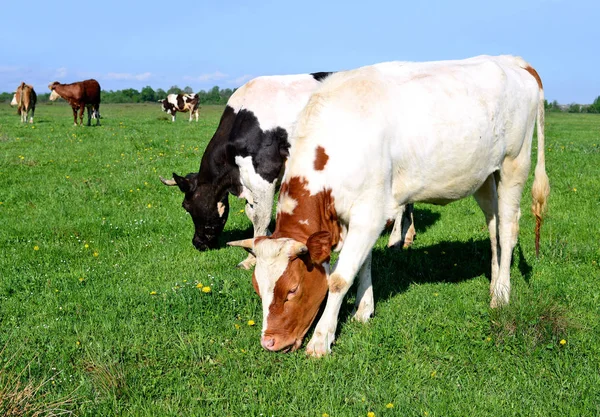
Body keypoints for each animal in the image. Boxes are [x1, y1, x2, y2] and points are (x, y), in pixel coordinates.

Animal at [161, 72, 418, 268]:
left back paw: (394, 241)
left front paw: (251, 259)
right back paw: (407, 238)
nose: (197, 243)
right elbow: (252, 213)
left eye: (186, 205)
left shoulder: (264, 171)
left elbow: (261, 217)